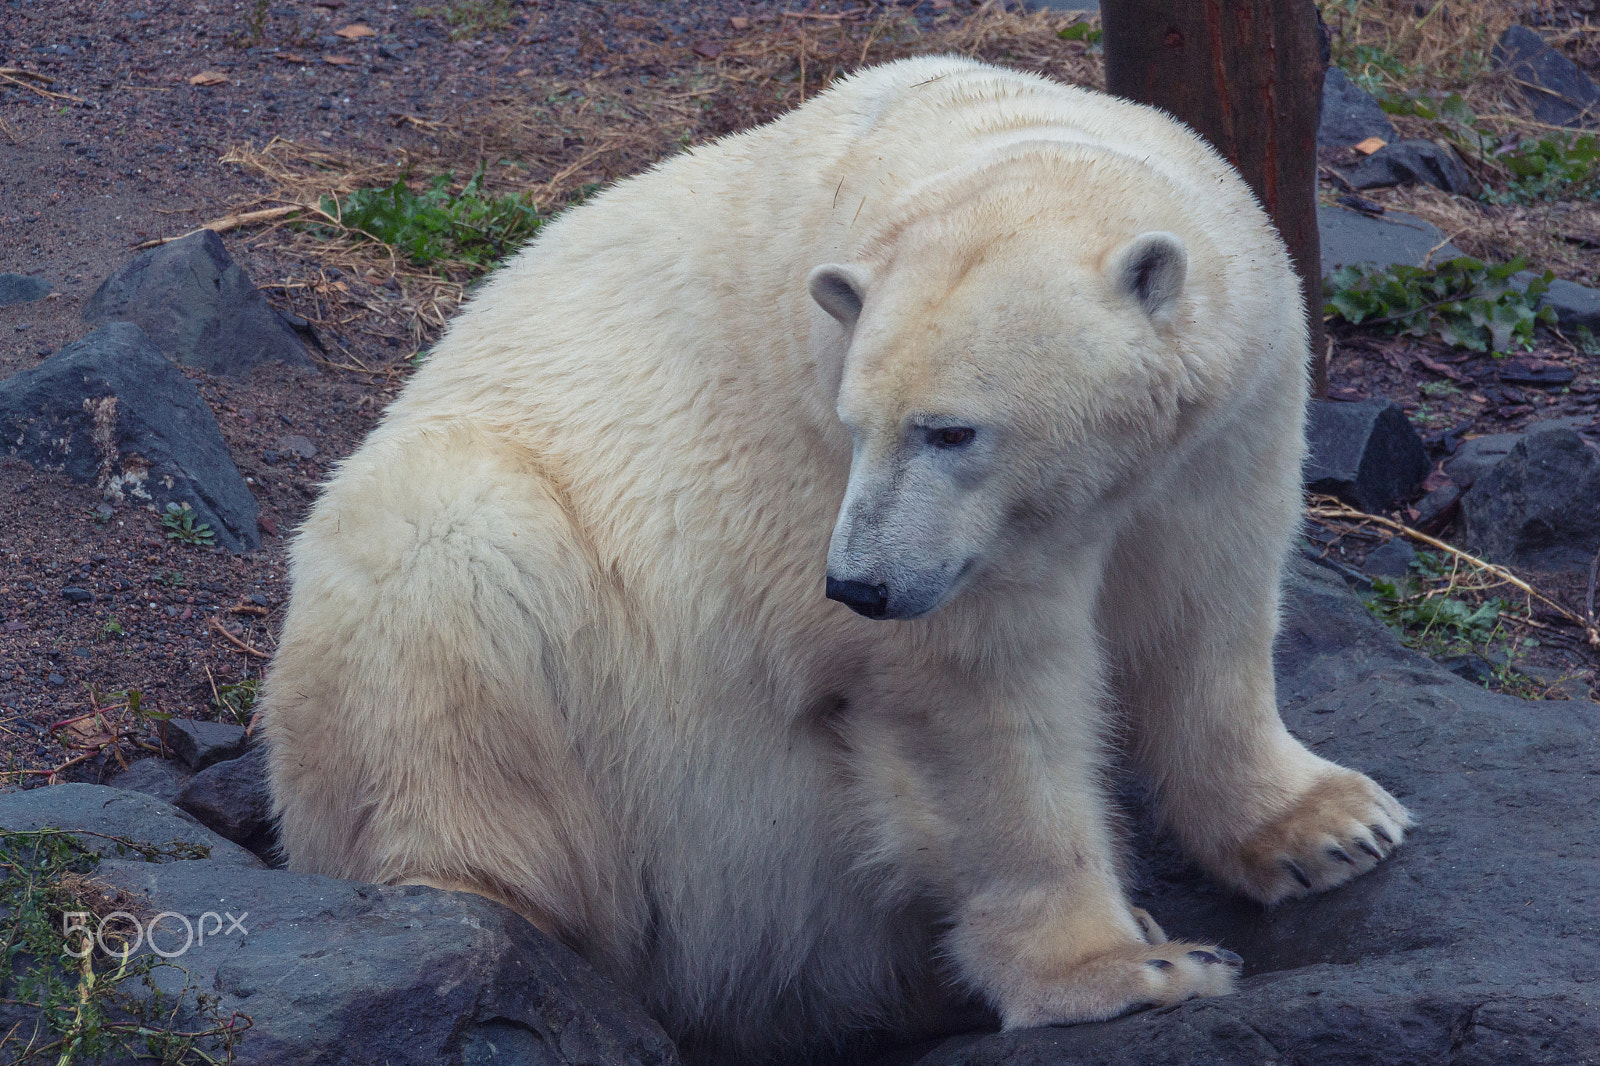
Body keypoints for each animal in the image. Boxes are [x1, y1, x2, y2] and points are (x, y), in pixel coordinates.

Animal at [261, 55, 1413, 1063]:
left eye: (950, 430)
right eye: (859, 425)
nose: (858, 583)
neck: (973, 142)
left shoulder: (1226, 424)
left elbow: (1210, 608)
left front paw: (1333, 827)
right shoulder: (912, 530)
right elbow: (978, 704)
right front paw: (1135, 966)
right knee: (449, 594)